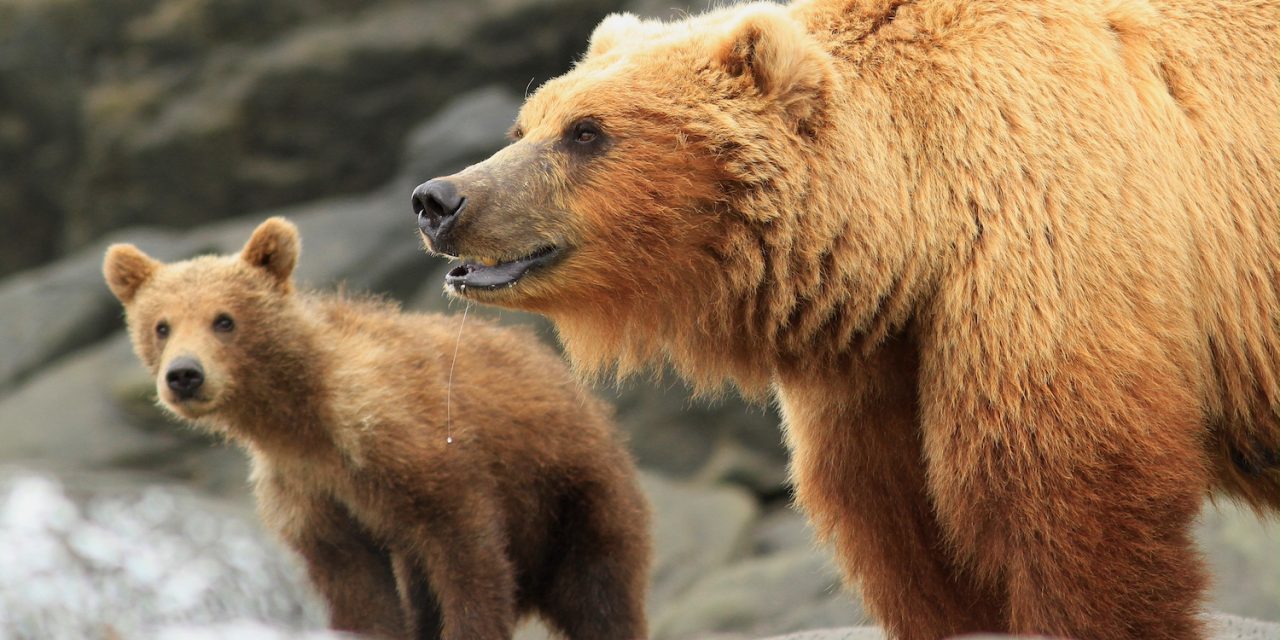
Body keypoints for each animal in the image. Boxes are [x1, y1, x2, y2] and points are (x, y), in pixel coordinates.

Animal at [102, 217, 651, 640]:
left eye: (224, 320)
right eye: (161, 326)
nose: (184, 375)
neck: (302, 419)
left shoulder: (415, 447)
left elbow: (468, 558)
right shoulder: (311, 493)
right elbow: (358, 589)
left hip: (575, 493)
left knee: (599, 593)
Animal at [408, 1, 1280, 639]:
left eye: (587, 132)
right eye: (526, 126)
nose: (439, 198)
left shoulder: (1053, 236)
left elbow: (1072, 491)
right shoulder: (876, 358)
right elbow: (893, 519)